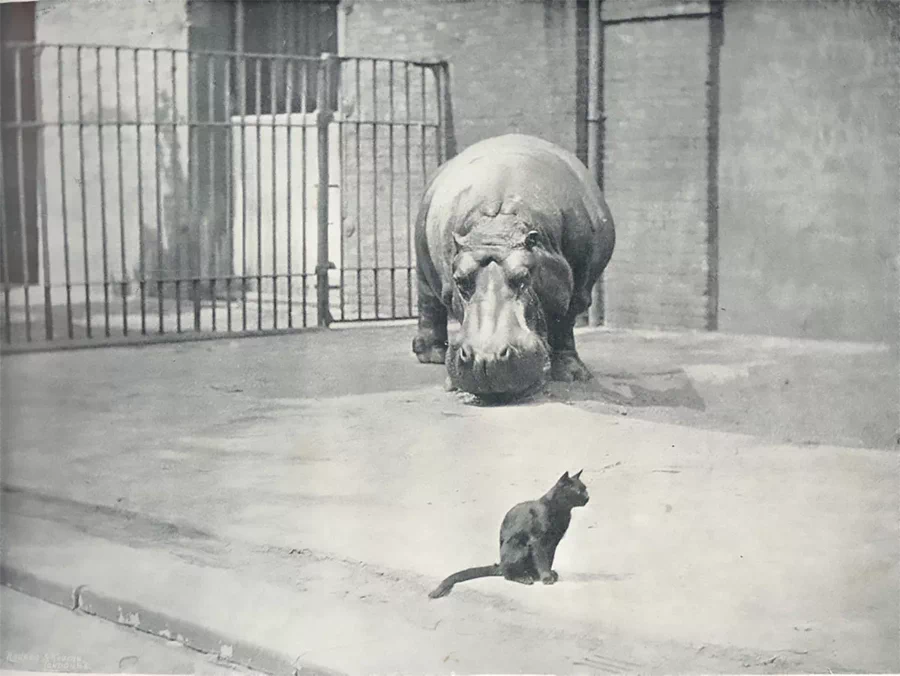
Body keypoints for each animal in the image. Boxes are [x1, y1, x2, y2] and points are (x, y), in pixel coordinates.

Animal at [430, 470, 592, 596]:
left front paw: (548, 574)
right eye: (579, 491)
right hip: (519, 546)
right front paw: (546, 577)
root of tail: (500, 564)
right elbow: (542, 560)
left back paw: (532, 575)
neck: (561, 512)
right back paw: (524, 578)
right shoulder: (537, 541)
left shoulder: (553, 542)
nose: (588, 497)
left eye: (586, 489)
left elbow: (549, 559)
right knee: (508, 574)